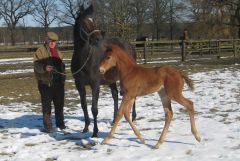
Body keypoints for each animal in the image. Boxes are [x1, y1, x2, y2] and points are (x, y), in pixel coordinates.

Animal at [70, 4, 136, 136]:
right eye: (84, 22)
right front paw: (86, 127)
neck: (84, 59)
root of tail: (130, 45)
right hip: (112, 79)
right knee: (115, 95)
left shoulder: (95, 84)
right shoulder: (79, 85)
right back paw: (115, 119)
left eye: (94, 21)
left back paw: (134, 117)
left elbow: (94, 109)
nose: (98, 38)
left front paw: (95, 132)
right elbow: (84, 106)